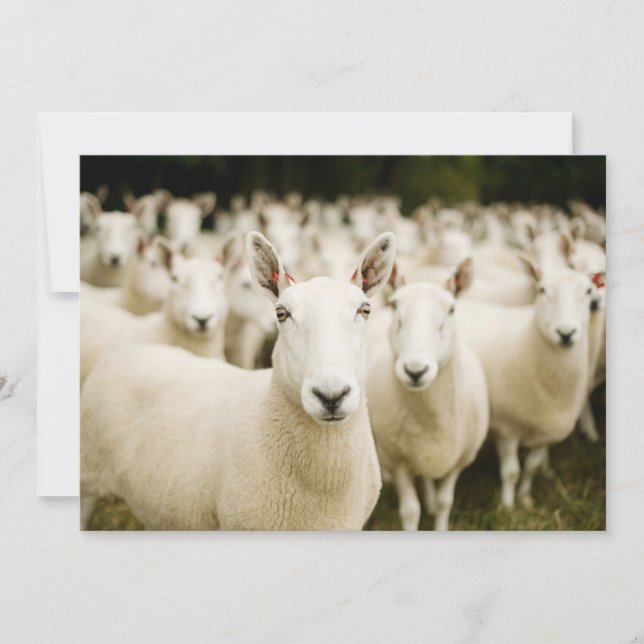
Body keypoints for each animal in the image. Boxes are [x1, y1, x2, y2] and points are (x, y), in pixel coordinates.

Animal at [367, 259, 488, 530]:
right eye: (395, 306)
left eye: (452, 309)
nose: (415, 371)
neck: (432, 419)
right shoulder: (399, 461)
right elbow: (411, 510)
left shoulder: (458, 461)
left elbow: (445, 503)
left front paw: (438, 516)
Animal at [457, 261, 594, 509]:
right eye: (542, 289)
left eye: (589, 291)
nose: (566, 333)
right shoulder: (506, 429)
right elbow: (511, 472)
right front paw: (508, 507)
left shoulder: (545, 432)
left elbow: (531, 467)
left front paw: (525, 499)